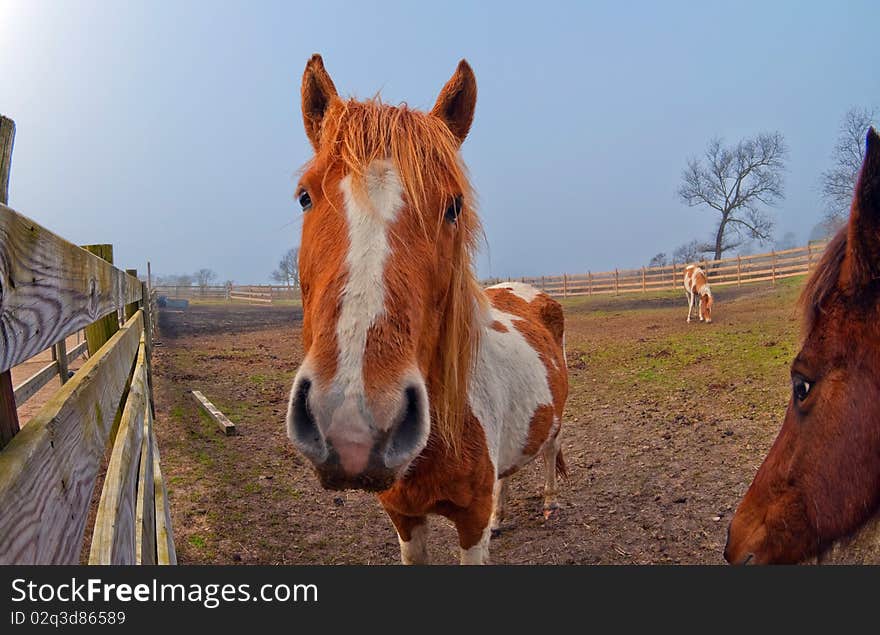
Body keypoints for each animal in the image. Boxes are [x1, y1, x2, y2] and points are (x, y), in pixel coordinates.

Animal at [286, 57, 568, 568]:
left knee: (550, 451)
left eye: (454, 206)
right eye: (304, 196)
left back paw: (551, 503)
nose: (353, 424)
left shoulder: (470, 523)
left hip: (554, 422)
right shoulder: (405, 518)